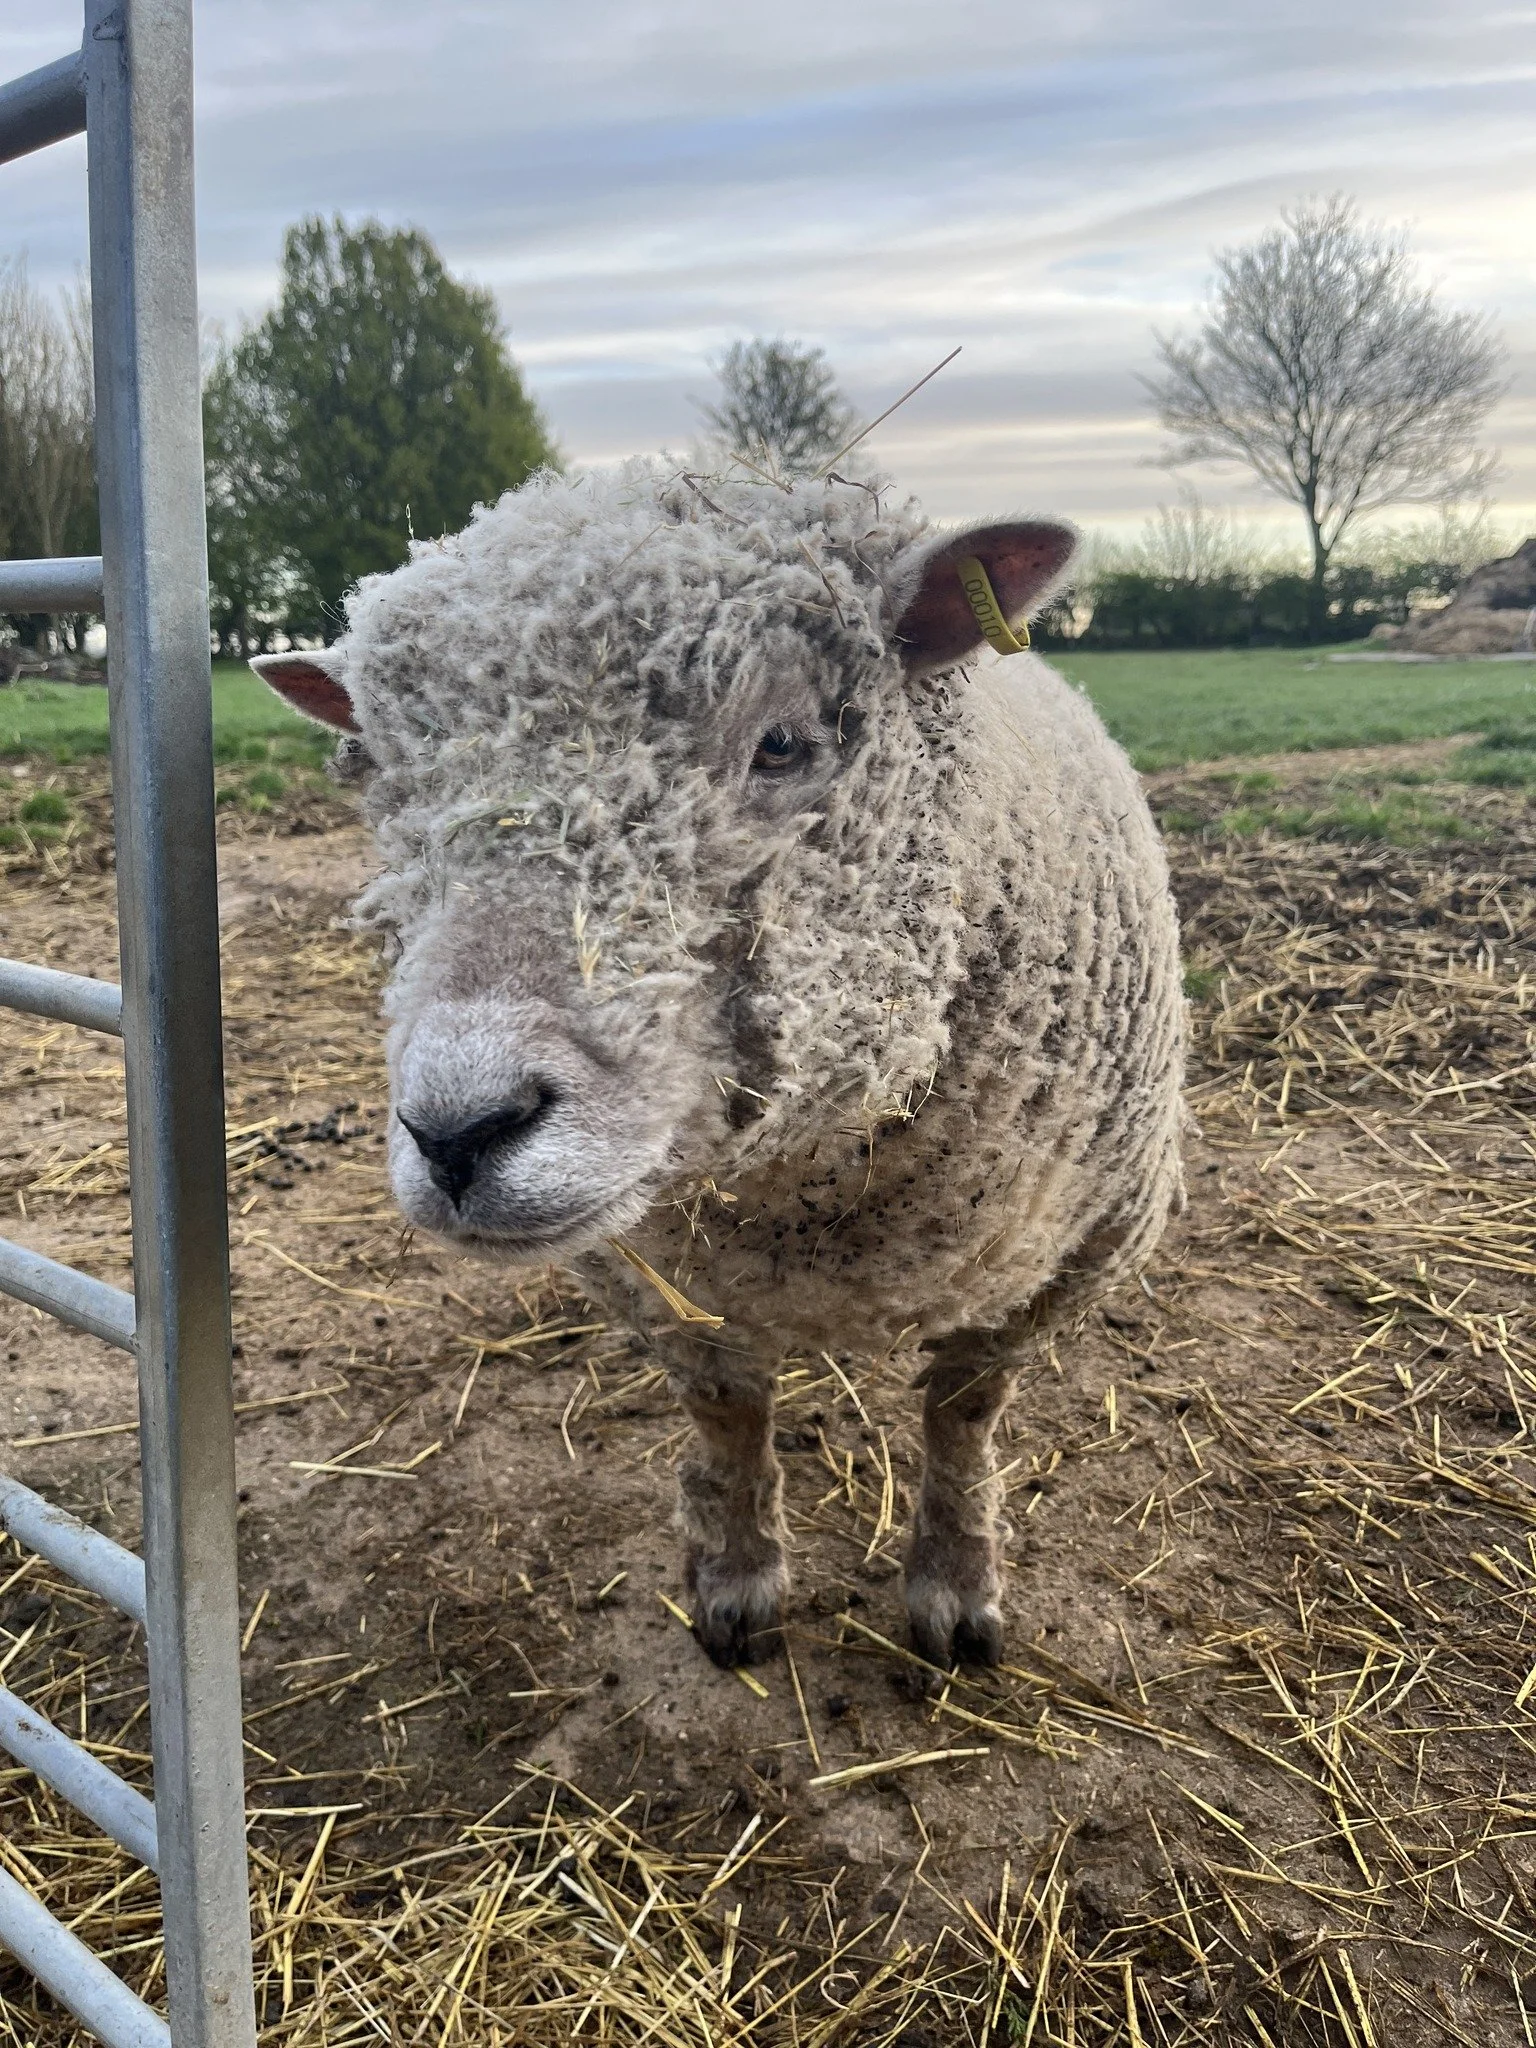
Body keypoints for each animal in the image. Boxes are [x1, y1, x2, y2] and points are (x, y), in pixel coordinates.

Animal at [252, 462, 1186, 1673]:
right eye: (385, 786)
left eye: (782, 742)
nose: (457, 1133)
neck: (815, 1187)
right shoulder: (661, 1282)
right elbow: (727, 1409)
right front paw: (738, 1581)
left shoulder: (1074, 1250)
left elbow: (964, 1412)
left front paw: (954, 1584)